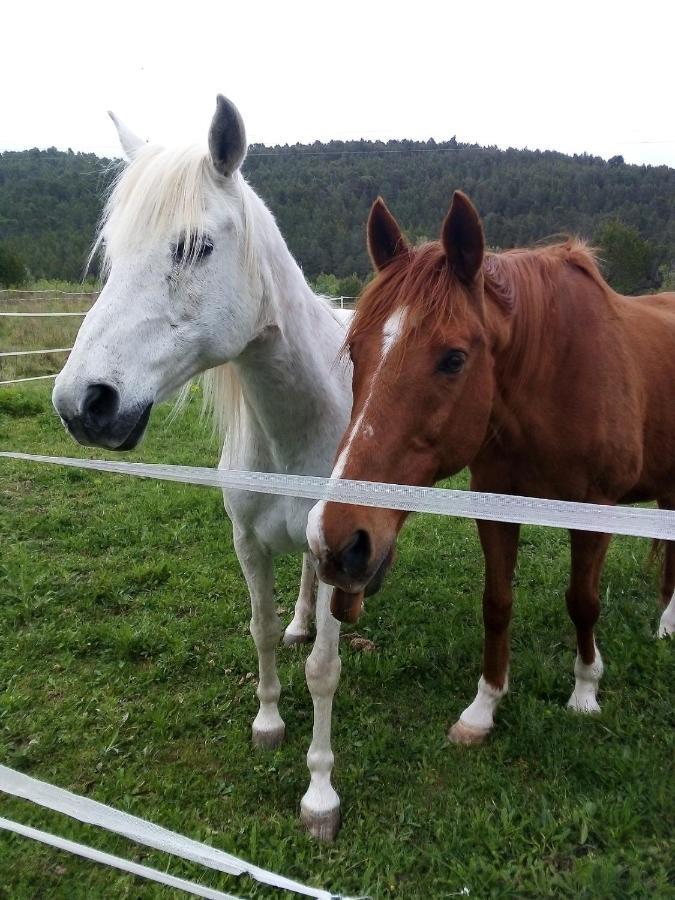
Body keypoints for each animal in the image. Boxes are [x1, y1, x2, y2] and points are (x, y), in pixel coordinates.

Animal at [52, 95, 354, 840]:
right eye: (112, 255)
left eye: (193, 247)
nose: (82, 404)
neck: (295, 426)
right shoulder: (247, 542)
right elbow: (263, 631)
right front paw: (268, 723)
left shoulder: (337, 549)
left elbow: (324, 670)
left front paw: (319, 795)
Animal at [308, 195, 675, 744]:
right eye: (356, 350)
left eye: (454, 359)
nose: (338, 541)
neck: (554, 373)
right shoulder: (495, 505)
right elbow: (497, 603)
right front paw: (484, 707)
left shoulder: (595, 511)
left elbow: (583, 600)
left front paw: (585, 691)